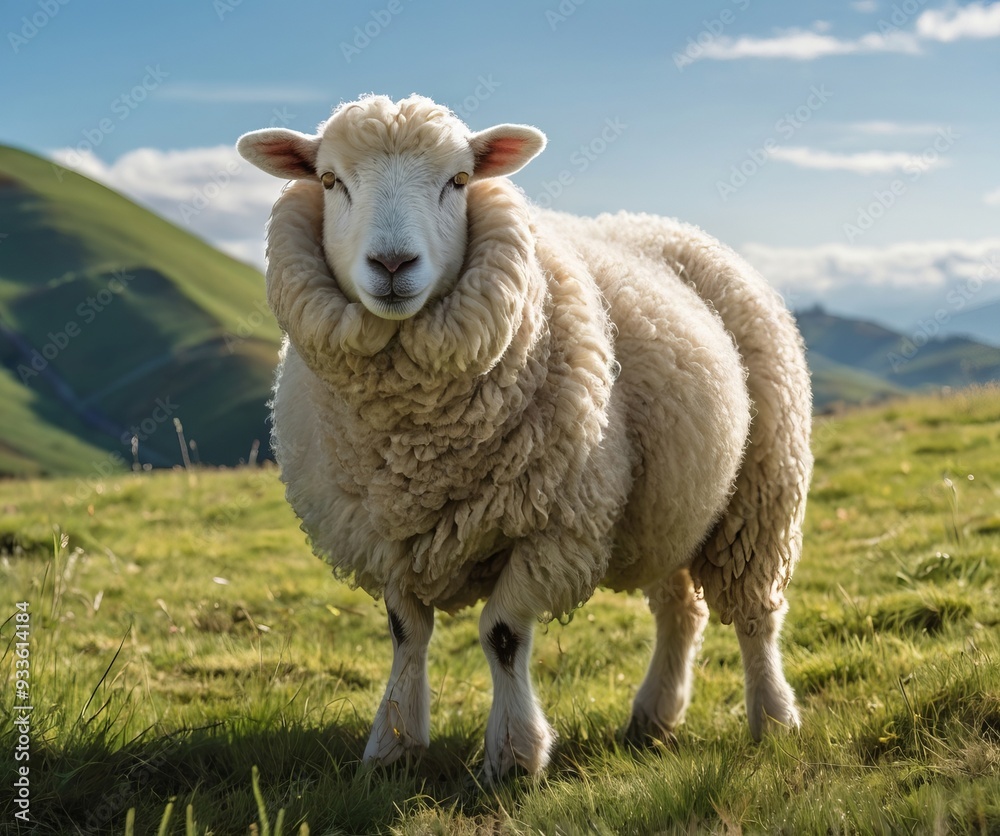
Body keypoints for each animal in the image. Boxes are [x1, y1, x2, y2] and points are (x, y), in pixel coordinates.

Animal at [236, 94, 813, 782]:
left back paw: (773, 720)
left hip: (761, 487)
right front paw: (393, 747)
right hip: (668, 506)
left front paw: (513, 756)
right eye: (329, 181)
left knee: (755, 615)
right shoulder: (384, 534)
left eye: (459, 180)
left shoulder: (552, 527)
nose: (393, 265)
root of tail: (661, 223)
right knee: (681, 608)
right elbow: (406, 634)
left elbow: (503, 634)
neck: (416, 450)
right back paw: (654, 716)